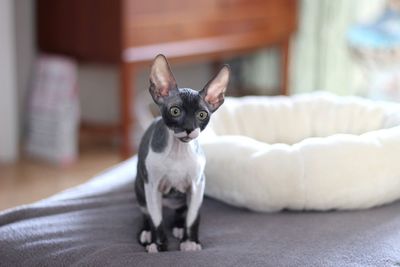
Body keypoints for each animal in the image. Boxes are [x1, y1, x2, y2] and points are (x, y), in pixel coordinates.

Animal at [134, 54, 230, 253]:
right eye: (175, 111)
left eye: (202, 115)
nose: (189, 128)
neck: (178, 153)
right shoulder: (152, 186)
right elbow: (156, 219)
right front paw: (158, 244)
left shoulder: (197, 185)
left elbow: (193, 217)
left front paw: (190, 242)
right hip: (140, 185)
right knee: (145, 212)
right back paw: (146, 233)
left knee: (182, 211)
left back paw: (178, 226)